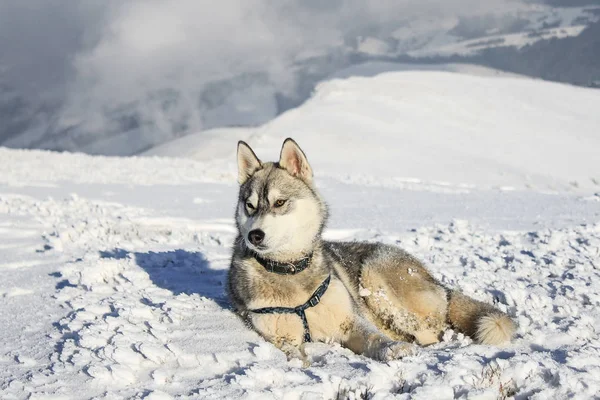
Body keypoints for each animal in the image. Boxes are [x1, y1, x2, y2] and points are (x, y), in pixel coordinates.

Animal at [226, 138, 516, 362]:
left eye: (279, 202)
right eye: (250, 206)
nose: (254, 235)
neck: (290, 271)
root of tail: (435, 280)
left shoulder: (350, 322)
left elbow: (374, 338)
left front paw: (394, 350)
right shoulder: (281, 336)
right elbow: (295, 355)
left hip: (375, 273)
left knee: (432, 332)